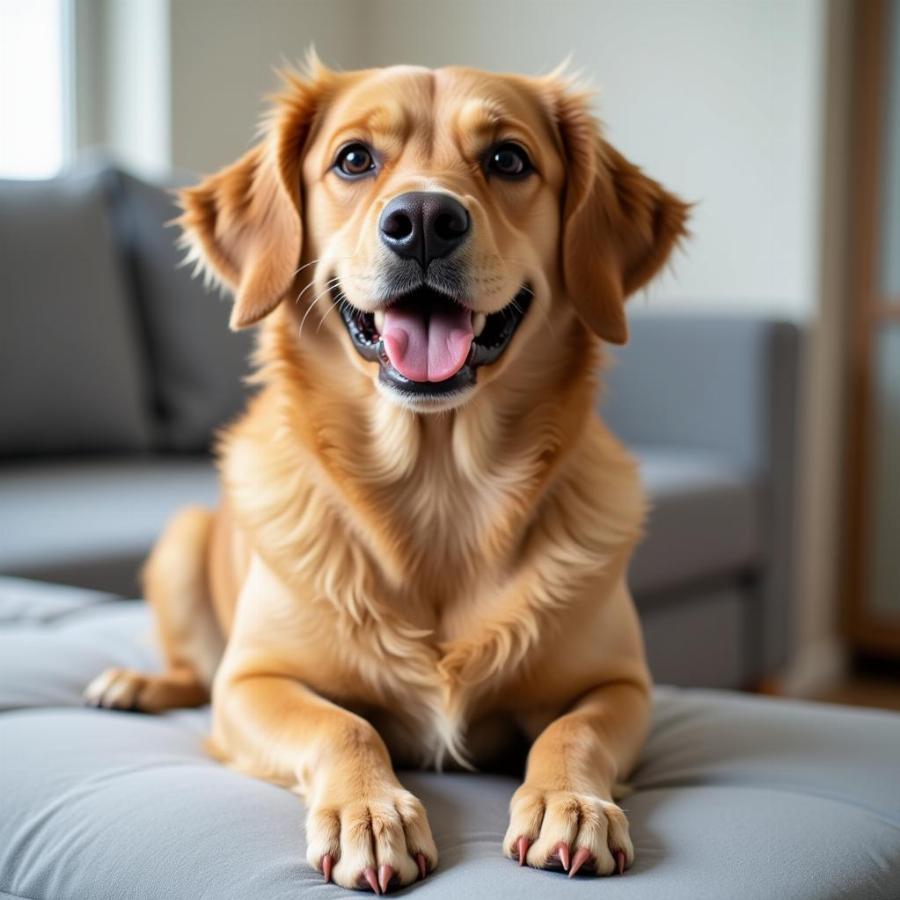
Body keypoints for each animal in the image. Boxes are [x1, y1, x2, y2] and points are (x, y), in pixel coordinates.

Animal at [84, 58, 688, 892]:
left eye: (508, 159)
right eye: (353, 159)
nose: (426, 219)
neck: (438, 488)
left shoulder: (624, 686)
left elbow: (574, 730)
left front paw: (569, 802)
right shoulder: (253, 684)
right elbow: (341, 725)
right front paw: (370, 813)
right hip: (180, 543)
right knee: (193, 671)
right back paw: (135, 684)